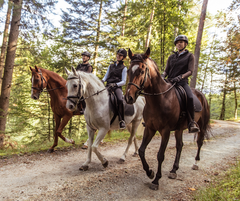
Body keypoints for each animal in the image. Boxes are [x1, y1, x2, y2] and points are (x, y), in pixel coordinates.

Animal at [124, 48, 211, 191]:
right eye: (128, 71)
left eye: (142, 71)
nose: (129, 98)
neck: (160, 99)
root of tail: (201, 94)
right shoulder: (150, 128)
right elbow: (142, 151)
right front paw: (150, 172)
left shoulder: (165, 131)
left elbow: (160, 155)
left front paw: (156, 180)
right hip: (179, 129)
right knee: (180, 146)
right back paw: (174, 170)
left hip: (201, 126)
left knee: (199, 142)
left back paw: (195, 163)